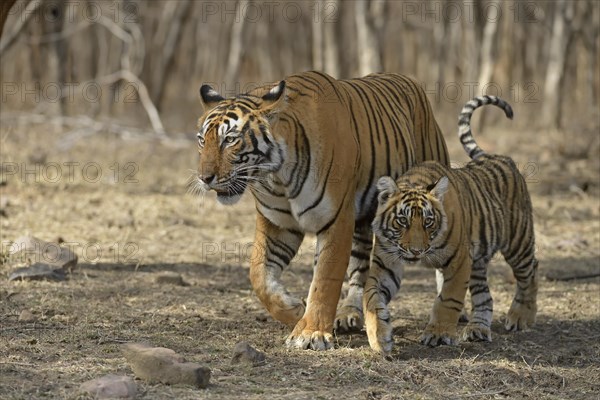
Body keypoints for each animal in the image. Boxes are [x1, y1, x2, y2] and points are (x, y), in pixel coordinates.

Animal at [195, 72, 448, 350]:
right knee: (360, 267)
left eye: (230, 139)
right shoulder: (278, 225)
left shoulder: (335, 219)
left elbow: (324, 279)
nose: (204, 178)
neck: (277, 177)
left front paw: (311, 333)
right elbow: (259, 275)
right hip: (361, 217)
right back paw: (348, 314)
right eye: (201, 140)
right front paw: (295, 310)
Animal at [366, 96, 540, 356]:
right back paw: (478, 329)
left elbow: (448, 299)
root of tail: (496, 156)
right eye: (402, 220)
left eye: (428, 222)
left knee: (530, 272)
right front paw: (379, 336)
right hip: (478, 260)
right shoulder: (385, 263)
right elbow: (371, 298)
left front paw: (438, 334)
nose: (416, 251)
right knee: (485, 296)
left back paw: (521, 317)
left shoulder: (459, 261)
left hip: (517, 242)